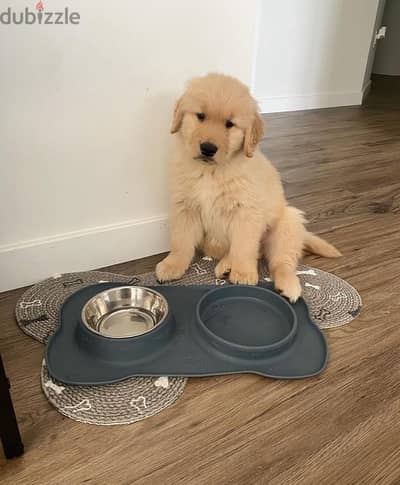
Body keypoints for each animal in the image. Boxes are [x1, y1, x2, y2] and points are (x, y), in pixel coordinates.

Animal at [156, 72, 340, 300]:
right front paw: (172, 265)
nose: (208, 148)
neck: (211, 172)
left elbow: (243, 247)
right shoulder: (185, 207)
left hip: (288, 224)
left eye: (230, 124)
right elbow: (181, 242)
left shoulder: (246, 213)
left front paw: (243, 273)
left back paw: (286, 284)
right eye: (200, 116)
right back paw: (226, 266)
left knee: (280, 262)